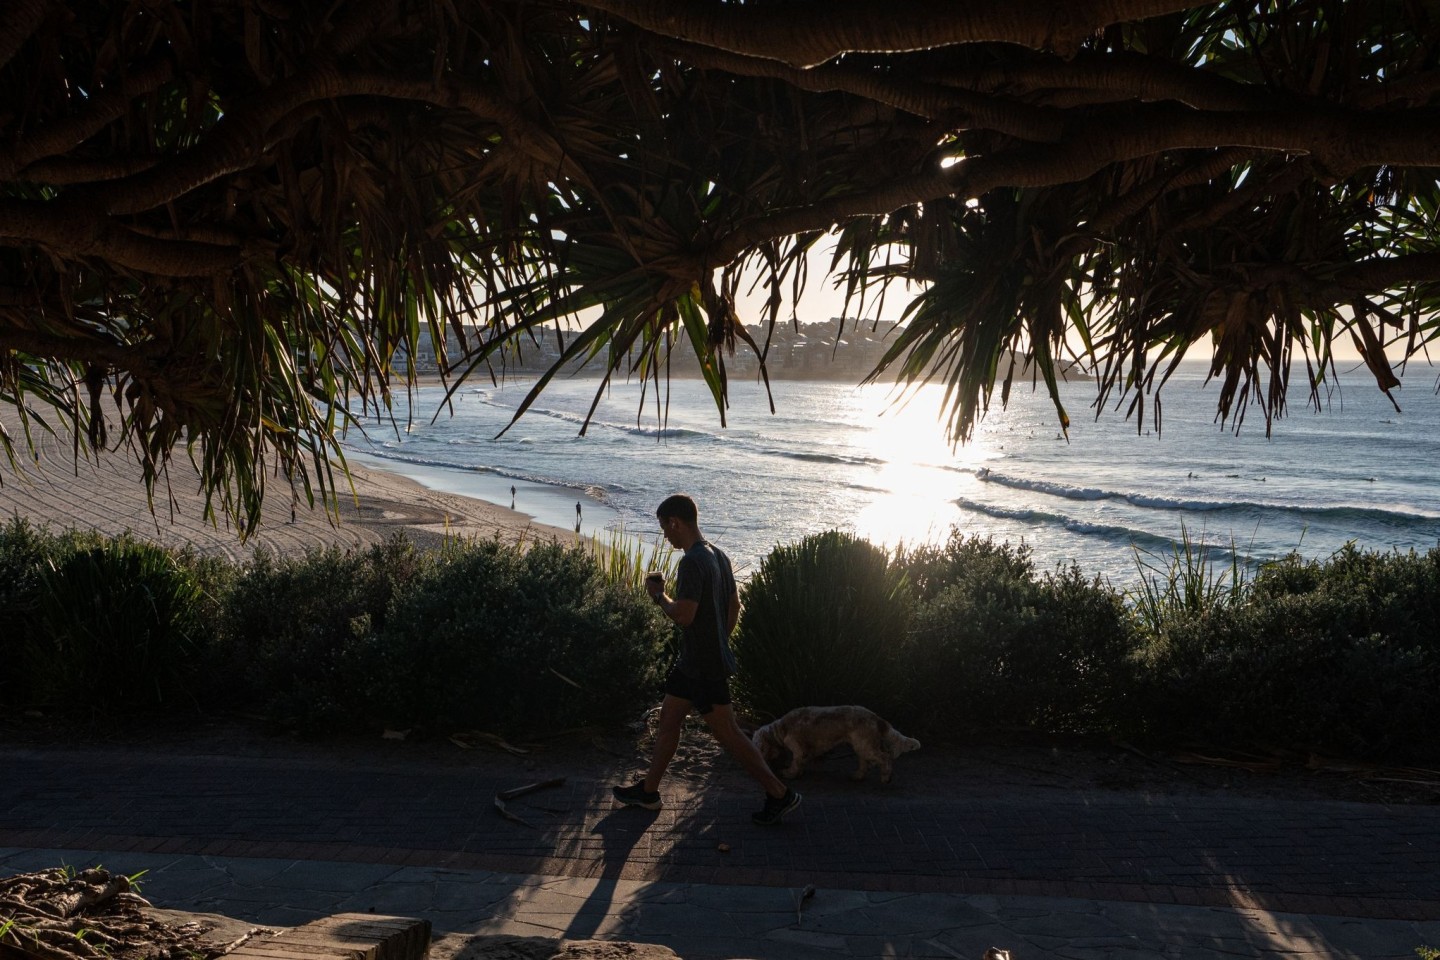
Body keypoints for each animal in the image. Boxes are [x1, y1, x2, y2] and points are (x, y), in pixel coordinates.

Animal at [754, 702, 921, 782]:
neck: (782, 727)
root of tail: (877, 718)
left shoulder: (798, 748)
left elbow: (795, 762)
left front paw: (789, 773)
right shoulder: (806, 750)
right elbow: (802, 762)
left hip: (865, 746)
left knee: (885, 757)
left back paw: (886, 777)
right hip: (860, 745)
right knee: (864, 763)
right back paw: (857, 776)